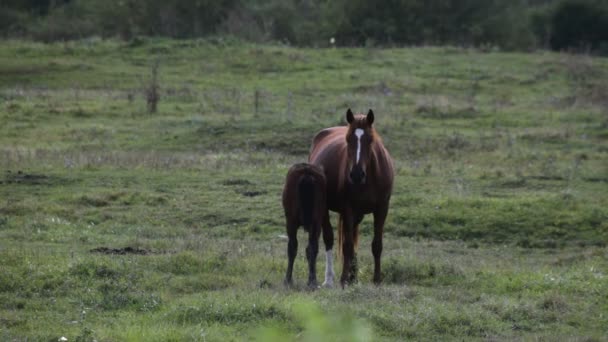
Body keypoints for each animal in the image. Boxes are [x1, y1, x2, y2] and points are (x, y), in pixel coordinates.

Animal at [308, 109, 394, 286]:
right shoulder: (348, 209)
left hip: (358, 215)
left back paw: (353, 277)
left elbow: (377, 245)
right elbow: (347, 245)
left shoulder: (382, 208)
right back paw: (330, 279)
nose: (356, 174)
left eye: (370, 139)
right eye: (348, 139)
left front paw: (377, 279)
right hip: (325, 208)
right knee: (329, 239)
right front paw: (343, 280)